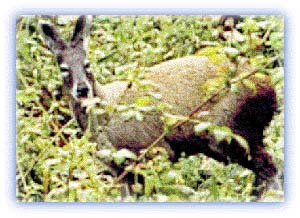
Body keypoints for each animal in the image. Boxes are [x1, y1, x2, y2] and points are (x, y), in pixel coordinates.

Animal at [39, 15, 278, 199]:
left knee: (269, 170)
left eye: (87, 64)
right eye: (63, 68)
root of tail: (270, 88)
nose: (82, 89)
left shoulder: (154, 150)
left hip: (229, 131)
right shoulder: (120, 170)